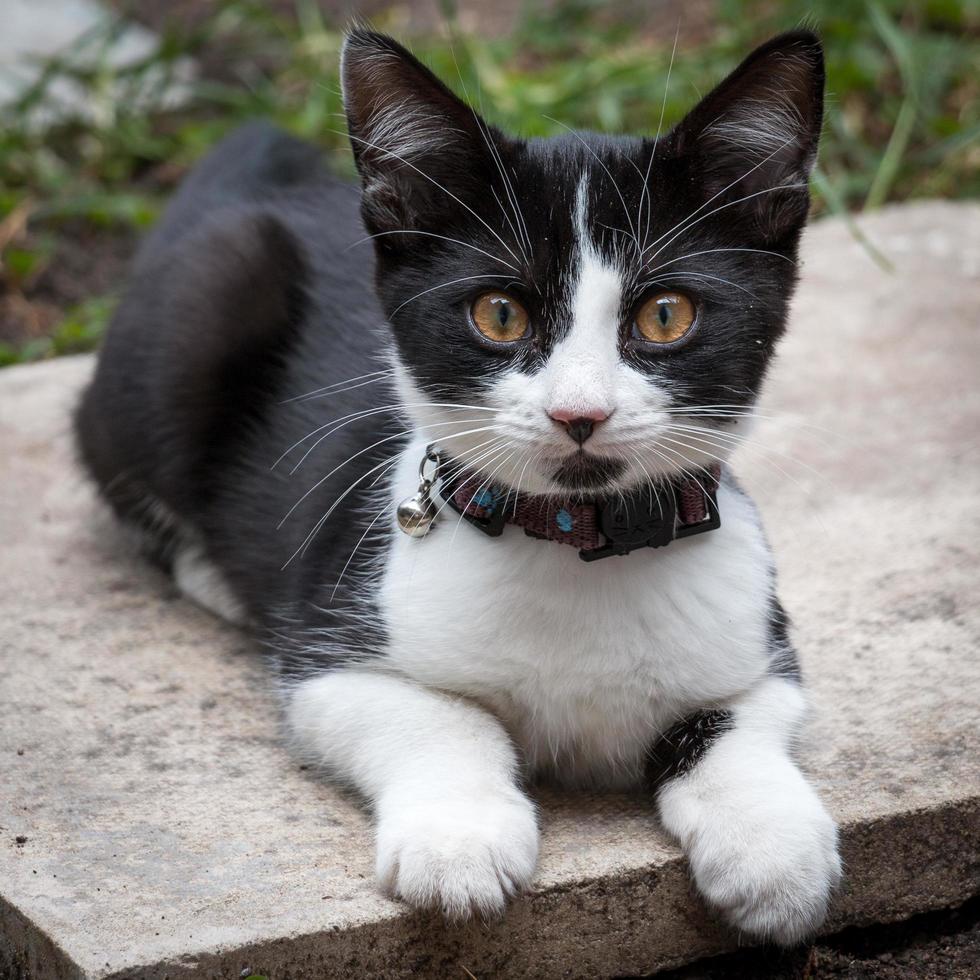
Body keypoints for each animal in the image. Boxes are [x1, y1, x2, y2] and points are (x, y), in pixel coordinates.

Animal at [76, 28, 844, 940]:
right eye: (499, 315)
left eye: (666, 315)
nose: (578, 413)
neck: (575, 540)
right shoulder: (332, 649)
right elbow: (438, 715)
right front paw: (459, 846)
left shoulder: (759, 638)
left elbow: (739, 718)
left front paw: (774, 848)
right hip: (201, 302)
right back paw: (215, 577)